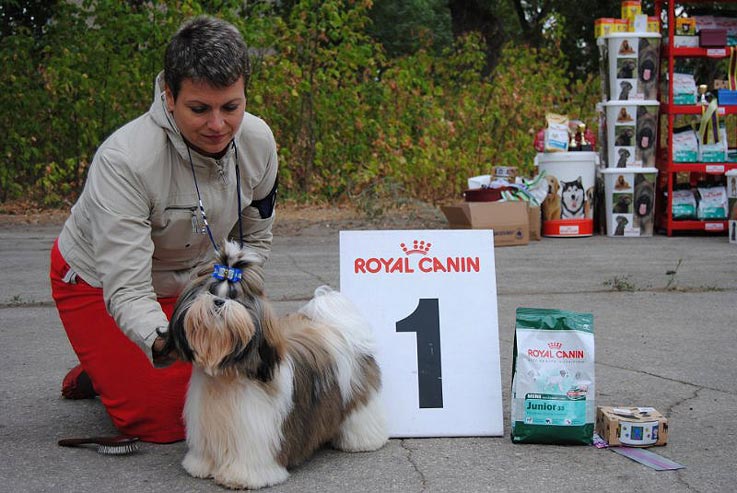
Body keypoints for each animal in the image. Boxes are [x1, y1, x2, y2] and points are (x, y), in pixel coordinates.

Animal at [161, 241, 388, 488]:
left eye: (237, 298)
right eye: (210, 291)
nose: (218, 302)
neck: (227, 374)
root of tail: (337, 327)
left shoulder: (257, 430)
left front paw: (242, 477)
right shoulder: (206, 424)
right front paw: (200, 466)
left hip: (357, 394)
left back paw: (363, 441)